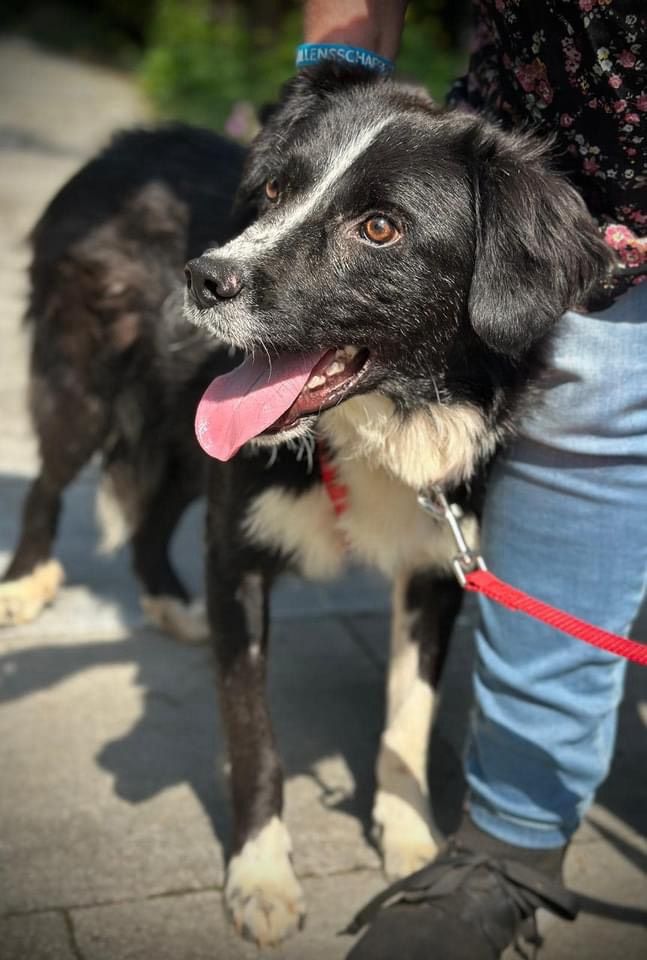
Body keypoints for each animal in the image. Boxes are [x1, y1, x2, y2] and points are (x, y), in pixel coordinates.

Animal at [1, 65, 612, 944]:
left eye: (380, 228)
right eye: (273, 191)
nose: (203, 277)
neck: (377, 425)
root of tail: (124, 144)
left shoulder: (437, 562)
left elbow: (408, 717)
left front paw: (410, 841)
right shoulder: (239, 554)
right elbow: (254, 735)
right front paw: (259, 876)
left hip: (187, 432)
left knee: (154, 514)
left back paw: (170, 605)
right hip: (85, 380)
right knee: (52, 482)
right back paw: (26, 583)